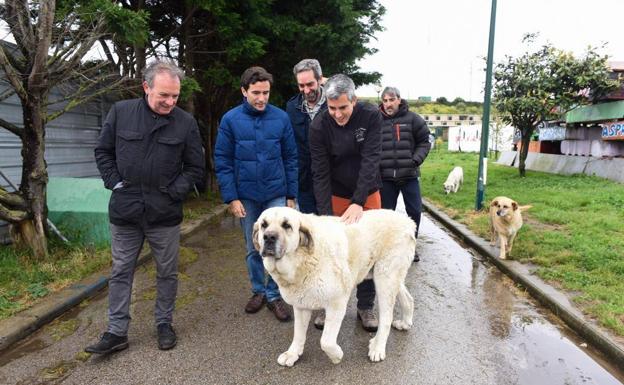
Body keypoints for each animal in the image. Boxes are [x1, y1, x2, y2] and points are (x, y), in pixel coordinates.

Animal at [251, 207, 416, 366]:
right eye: (264, 225)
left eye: (287, 226)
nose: (269, 237)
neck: (302, 260)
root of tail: (407, 221)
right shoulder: (301, 305)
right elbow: (298, 334)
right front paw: (292, 354)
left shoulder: (337, 303)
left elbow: (326, 342)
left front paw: (336, 356)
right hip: (388, 277)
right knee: (408, 299)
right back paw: (405, 323)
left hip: (385, 279)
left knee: (387, 317)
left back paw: (377, 347)